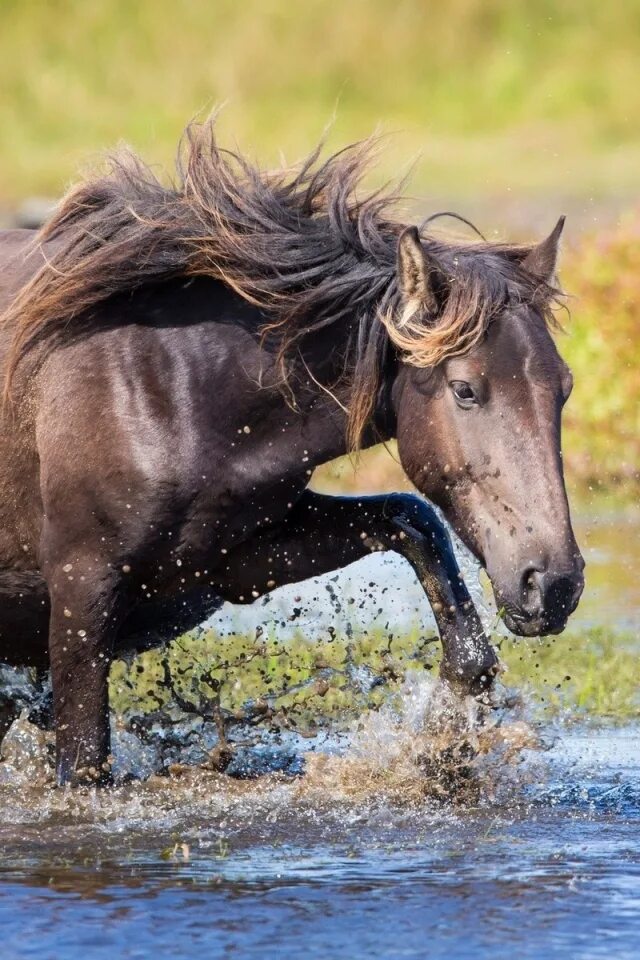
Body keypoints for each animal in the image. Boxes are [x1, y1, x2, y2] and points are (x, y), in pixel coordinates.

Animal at [0, 120, 584, 784]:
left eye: (563, 387)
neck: (174, 383)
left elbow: (411, 519)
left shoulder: (236, 562)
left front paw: (453, 711)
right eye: (465, 389)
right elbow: (85, 763)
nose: (553, 584)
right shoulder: (82, 597)